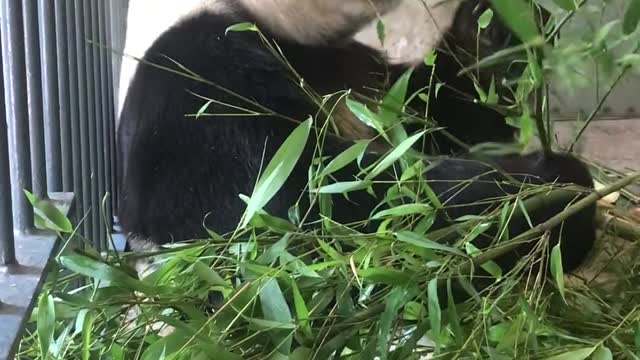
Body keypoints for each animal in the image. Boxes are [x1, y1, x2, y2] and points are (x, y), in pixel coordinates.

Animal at [117, 0, 596, 282]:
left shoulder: (347, 70)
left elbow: (441, 112)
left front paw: (494, 27)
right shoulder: (193, 82)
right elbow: (304, 210)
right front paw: (553, 191)